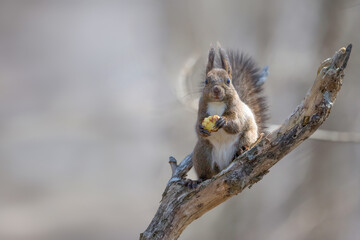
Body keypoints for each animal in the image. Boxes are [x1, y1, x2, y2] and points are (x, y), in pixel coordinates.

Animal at [187, 46, 268, 187]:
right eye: (206, 81)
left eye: (228, 81)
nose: (216, 89)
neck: (217, 103)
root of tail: (223, 165)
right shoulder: (201, 111)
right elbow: (197, 125)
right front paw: (201, 129)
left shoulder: (237, 111)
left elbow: (237, 124)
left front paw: (224, 121)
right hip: (201, 154)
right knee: (206, 174)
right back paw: (196, 181)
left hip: (247, 137)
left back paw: (242, 150)